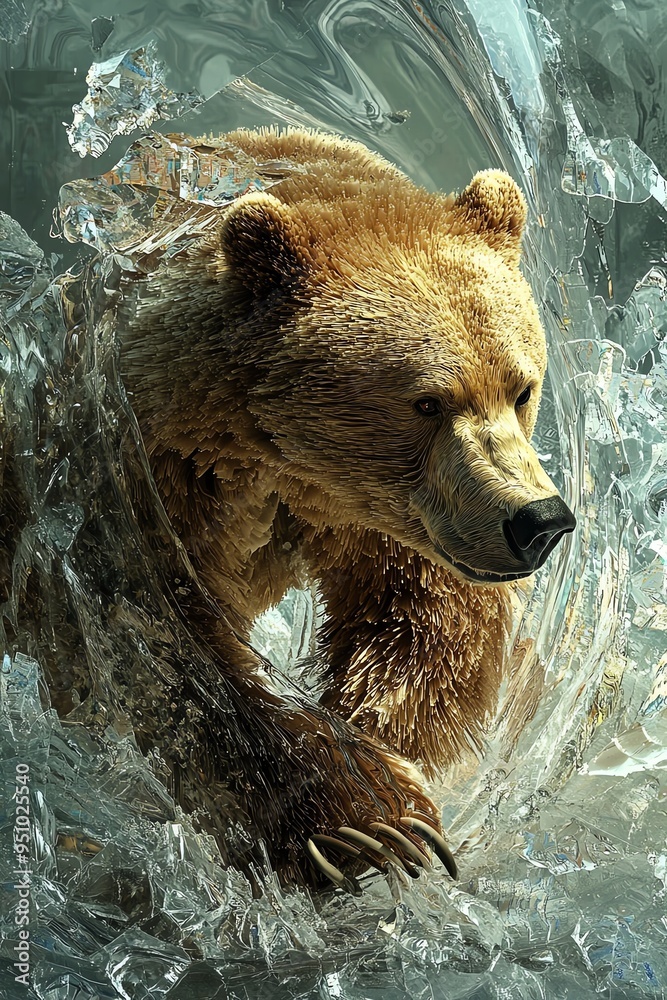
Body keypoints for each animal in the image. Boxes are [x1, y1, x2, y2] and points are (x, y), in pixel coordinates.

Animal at [119, 127, 575, 889]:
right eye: (427, 402)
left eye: (521, 388)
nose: (538, 522)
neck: (293, 473)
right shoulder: (166, 476)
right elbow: (178, 649)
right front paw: (365, 822)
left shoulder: (396, 522)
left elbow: (425, 629)